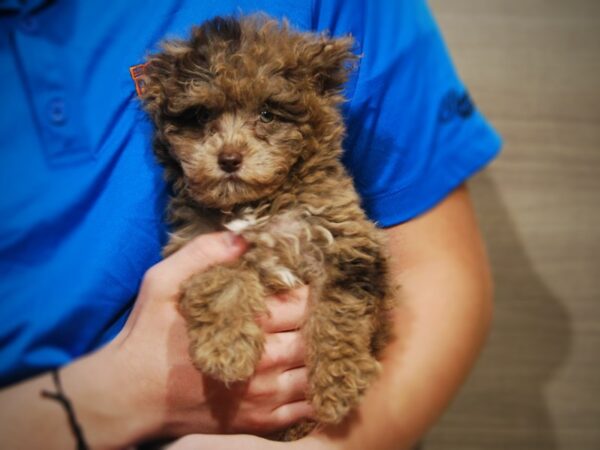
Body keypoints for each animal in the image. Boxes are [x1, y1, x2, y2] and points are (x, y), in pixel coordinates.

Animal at [139, 14, 394, 440]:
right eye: (202, 117)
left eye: (268, 114)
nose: (229, 159)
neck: (260, 203)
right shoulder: (197, 241)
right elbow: (221, 280)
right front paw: (225, 350)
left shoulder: (346, 241)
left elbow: (340, 311)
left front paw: (338, 383)